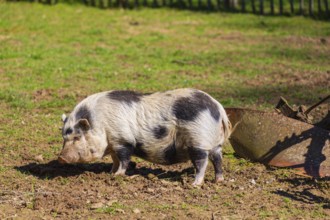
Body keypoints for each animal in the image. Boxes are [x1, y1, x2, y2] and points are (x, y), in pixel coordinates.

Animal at [58, 88, 231, 186]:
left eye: (77, 137)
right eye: (64, 138)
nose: (61, 158)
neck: (101, 123)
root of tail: (218, 107)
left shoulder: (123, 139)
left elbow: (124, 159)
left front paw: (118, 175)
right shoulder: (113, 143)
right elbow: (115, 160)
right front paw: (110, 172)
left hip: (198, 139)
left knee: (202, 162)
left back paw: (194, 184)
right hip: (215, 143)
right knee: (218, 159)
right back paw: (218, 181)